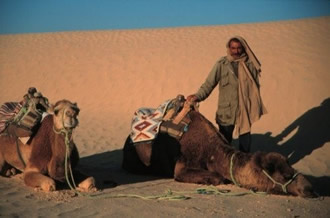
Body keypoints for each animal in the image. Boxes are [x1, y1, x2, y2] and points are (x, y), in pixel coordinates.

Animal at [122, 108, 316, 198]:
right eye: (285, 175)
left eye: (291, 169)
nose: (309, 188)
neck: (213, 152)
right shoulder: (182, 167)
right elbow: (218, 177)